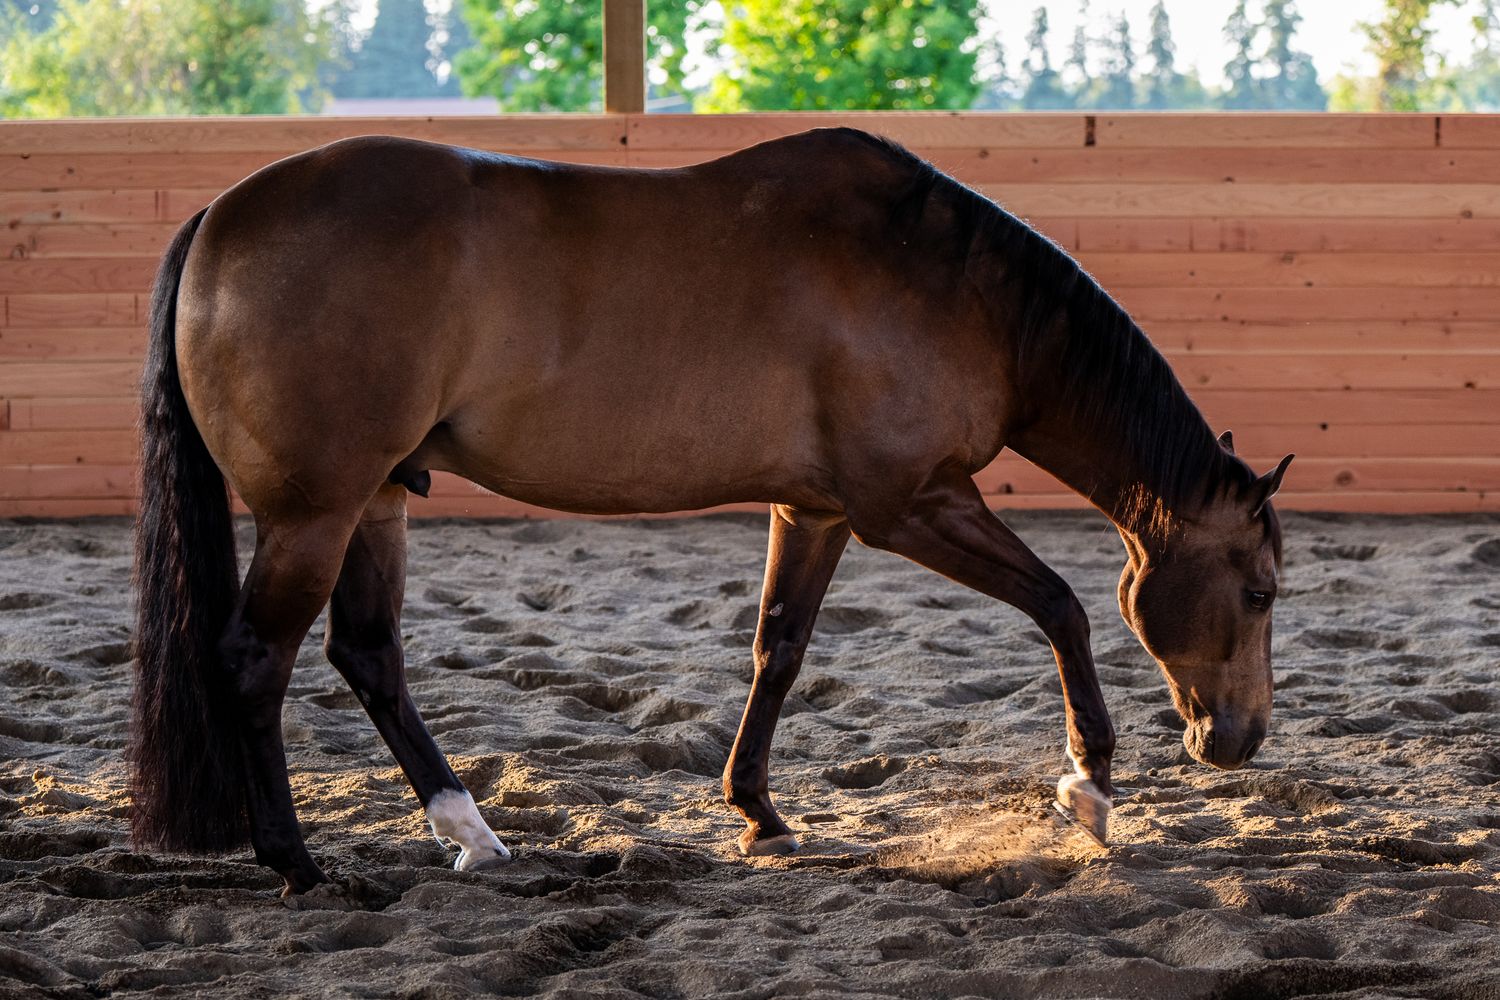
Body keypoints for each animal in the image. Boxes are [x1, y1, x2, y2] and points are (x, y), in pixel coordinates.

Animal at [130, 127, 1292, 896]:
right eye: (1260, 590)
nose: (1236, 740)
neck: (950, 284)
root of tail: (220, 218)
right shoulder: (908, 503)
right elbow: (1062, 606)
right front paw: (1088, 785)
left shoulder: (814, 512)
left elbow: (777, 649)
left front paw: (758, 812)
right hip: (314, 513)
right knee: (254, 662)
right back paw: (296, 863)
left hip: (372, 503)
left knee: (367, 656)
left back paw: (471, 830)